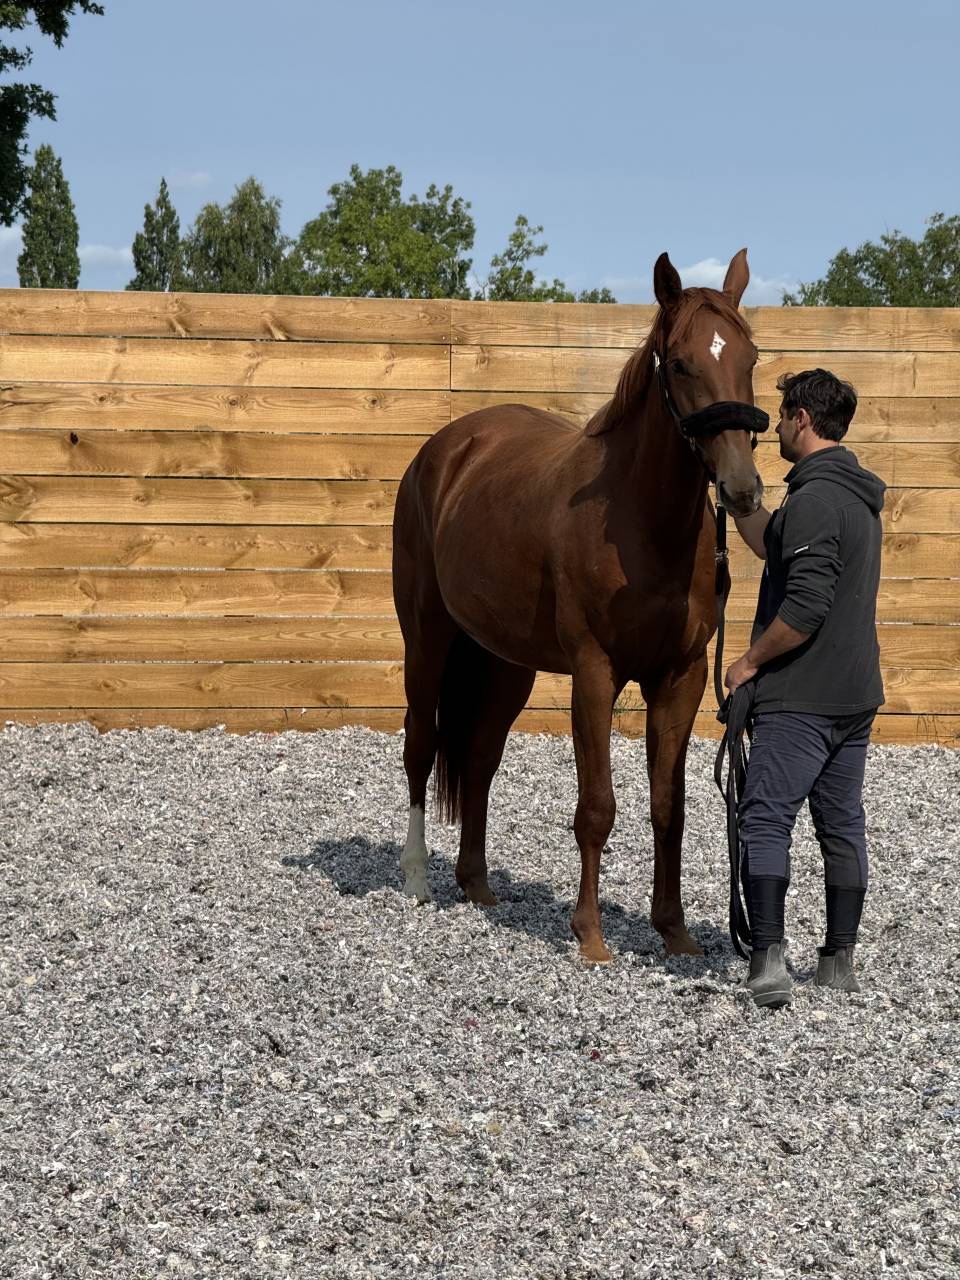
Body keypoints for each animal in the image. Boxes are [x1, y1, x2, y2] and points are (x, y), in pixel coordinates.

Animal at [391, 249, 767, 963]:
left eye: (750, 358)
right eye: (682, 363)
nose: (741, 488)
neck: (640, 522)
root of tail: (444, 450)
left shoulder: (681, 678)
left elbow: (668, 806)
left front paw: (673, 931)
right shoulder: (594, 673)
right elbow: (597, 805)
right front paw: (589, 934)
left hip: (505, 663)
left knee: (479, 758)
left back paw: (476, 884)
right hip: (426, 641)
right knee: (421, 745)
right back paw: (418, 881)